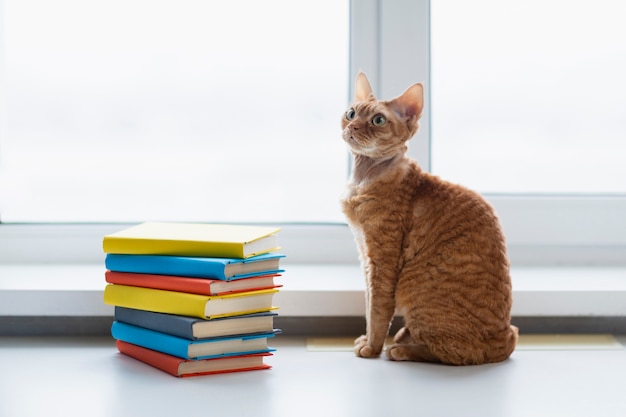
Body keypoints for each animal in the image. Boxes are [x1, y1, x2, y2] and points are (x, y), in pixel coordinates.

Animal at [342, 72, 516, 364]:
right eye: (351, 113)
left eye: (378, 120)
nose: (353, 126)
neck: (362, 180)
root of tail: (505, 341)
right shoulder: (364, 255)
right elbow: (368, 304)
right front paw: (367, 339)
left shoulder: (382, 260)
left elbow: (377, 310)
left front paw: (372, 347)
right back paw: (404, 336)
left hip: (419, 292)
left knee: (455, 351)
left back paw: (401, 348)